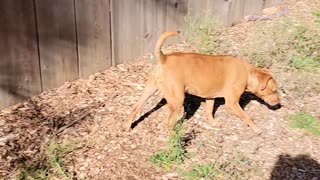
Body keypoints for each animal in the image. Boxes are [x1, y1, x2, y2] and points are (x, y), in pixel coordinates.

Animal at [125, 31, 280, 134]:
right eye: (274, 90)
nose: (279, 104)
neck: (247, 73)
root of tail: (164, 58)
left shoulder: (210, 97)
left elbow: (209, 112)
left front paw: (213, 123)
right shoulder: (232, 104)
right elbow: (247, 117)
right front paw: (256, 129)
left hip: (149, 90)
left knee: (134, 108)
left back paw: (127, 127)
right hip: (177, 100)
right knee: (168, 123)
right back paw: (174, 137)